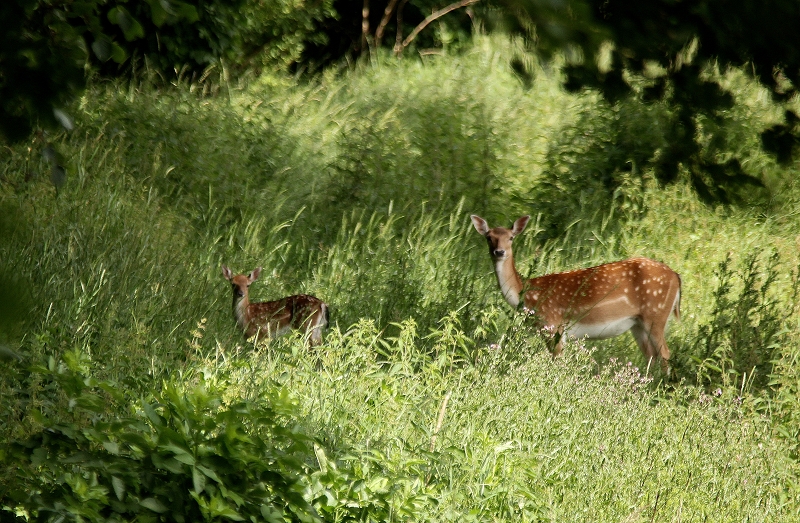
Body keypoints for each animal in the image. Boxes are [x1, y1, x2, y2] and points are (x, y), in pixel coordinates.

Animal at [472, 214, 684, 372]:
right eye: (489, 237)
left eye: (511, 237)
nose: (499, 252)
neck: (527, 295)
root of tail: (676, 276)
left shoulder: (554, 323)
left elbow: (557, 360)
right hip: (638, 323)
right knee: (651, 356)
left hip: (656, 314)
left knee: (665, 354)